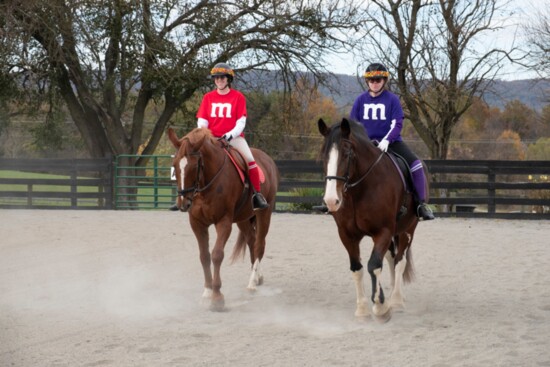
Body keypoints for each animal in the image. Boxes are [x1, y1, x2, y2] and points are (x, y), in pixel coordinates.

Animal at [167, 128, 280, 312]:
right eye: (175, 164)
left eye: (194, 166)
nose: (183, 203)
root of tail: (267, 159)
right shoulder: (197, 223)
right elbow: (204, 256)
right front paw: (207, 293)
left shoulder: (224, 222)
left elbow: (217, 255)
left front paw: (217, 297)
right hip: (243, 218)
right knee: (251, 241)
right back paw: (257, 277)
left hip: (264, 213)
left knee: (259, 245)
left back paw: (252, 284)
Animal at [316, 118, 420, 322]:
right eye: (324, 155)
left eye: (347, 154)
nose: (331, 200)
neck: (360, 190)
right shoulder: (347, 235)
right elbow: (358, 268)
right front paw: (363, 309)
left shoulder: (383, 231)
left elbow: (374, 265)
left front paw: (380, 307)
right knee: (391, 258)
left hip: (408, 230)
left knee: (400, 261)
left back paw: (397, 300)